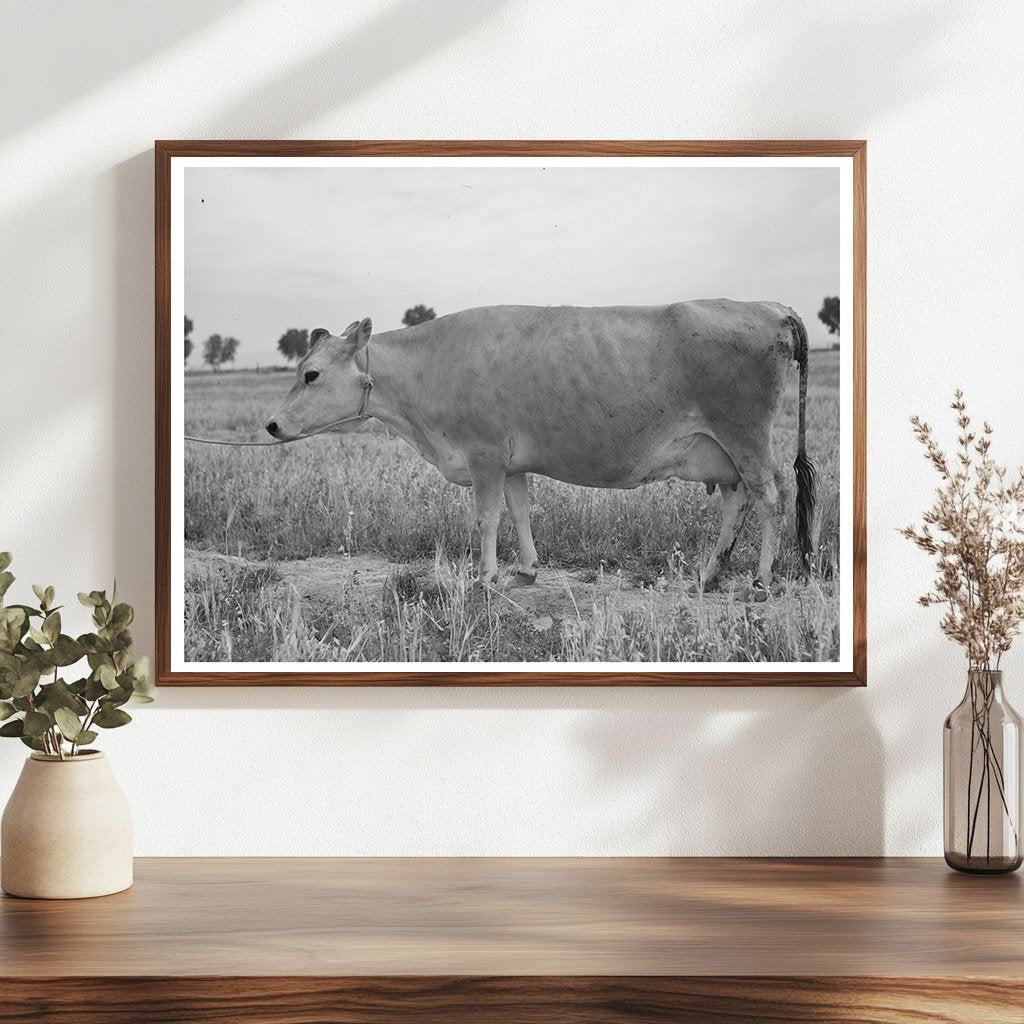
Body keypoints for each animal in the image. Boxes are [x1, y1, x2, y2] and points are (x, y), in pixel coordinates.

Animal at [266, 301, 817, 598]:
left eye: (310, 373)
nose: (271, 424)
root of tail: (772, 307)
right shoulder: (512, 464)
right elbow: (520, 512)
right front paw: (525, 572)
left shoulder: (485, 455)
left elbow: (486, 518)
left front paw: (485, 578)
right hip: (724, 452)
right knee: (737, 502)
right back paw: (708, 576)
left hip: (746, 436)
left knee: (771, 496)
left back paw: (760, 583)